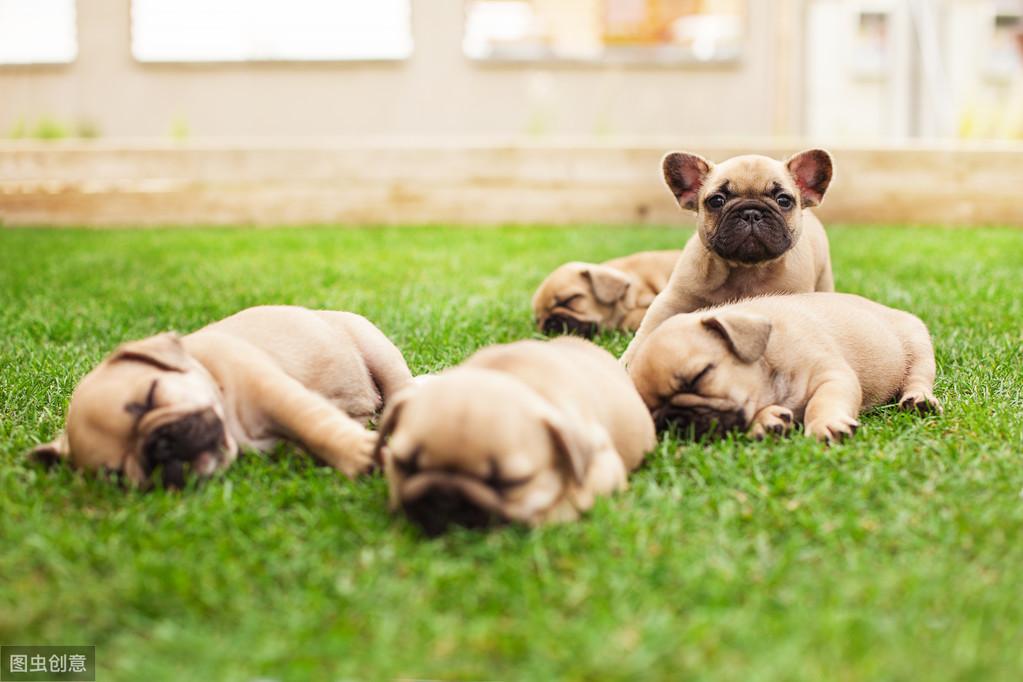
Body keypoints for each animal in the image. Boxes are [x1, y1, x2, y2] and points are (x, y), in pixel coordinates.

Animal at [31, 306, 415, 488]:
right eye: (118, 477)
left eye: (151, 396)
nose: (158, 448)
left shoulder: (276, 392)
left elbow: (313, 423)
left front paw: (359, 454)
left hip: (377, 349)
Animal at [617, 147, 834, 366]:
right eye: (716, 201)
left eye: (783, 200)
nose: (751, 212)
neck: (746, 270)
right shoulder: (673, 299)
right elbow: (649, 328)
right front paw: (628, 361)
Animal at [630, 292, 941, 443]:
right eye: (652, 414)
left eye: (699, 376)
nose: (674, 420)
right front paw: (766, 421)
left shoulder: (832, 377)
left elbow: (822, 402)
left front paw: (825, 424)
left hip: (917, 343)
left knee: (918, 377)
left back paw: (919, 400)